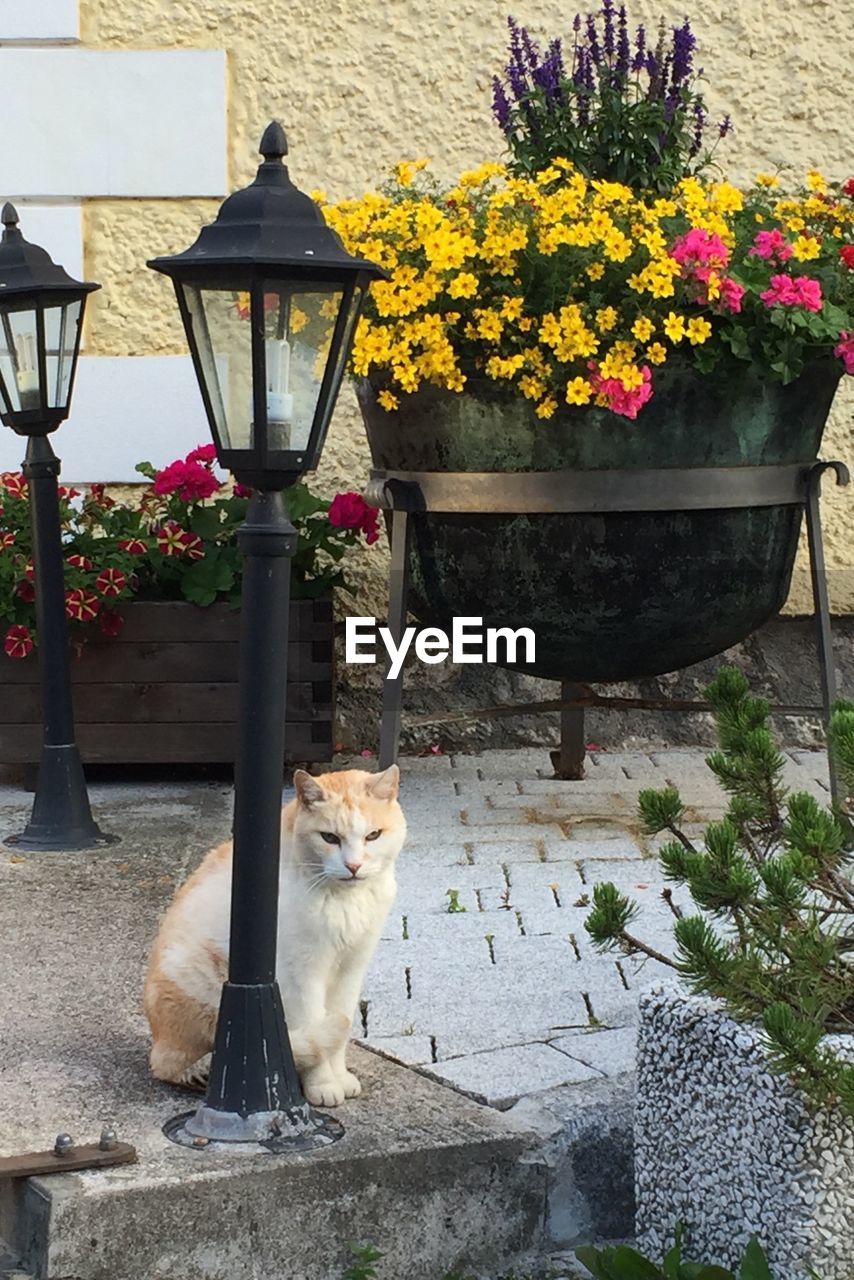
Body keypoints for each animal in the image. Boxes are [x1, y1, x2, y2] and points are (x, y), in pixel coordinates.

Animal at [142, 762, 404, 1105]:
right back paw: (201, 1070)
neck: (344, 901)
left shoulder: (351, 968)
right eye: (329, 837)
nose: (354, 866)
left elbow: (341, 1028)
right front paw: (323, 1083)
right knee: (173, 1063)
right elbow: (318, 1030)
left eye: (373, 836)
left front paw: (340, 1076)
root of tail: (156, 1035)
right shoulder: (302, 976)